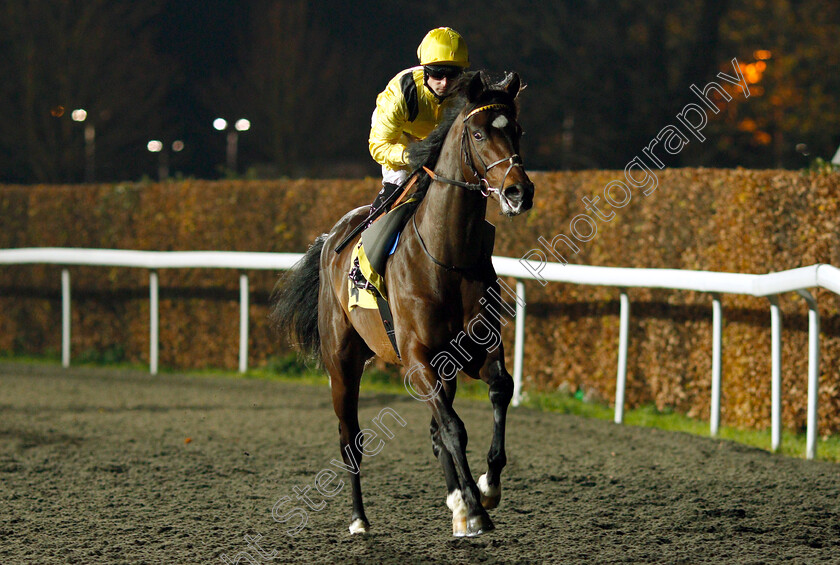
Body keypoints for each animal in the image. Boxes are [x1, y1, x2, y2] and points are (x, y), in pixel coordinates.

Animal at [272, 71, 536, 536]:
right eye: (479, 133)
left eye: (518, 130)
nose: (519, 192)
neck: (446, 255)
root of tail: (329, 239)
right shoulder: (416, 358)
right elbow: (453, 428)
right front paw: (477, 508)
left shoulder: (474, 351)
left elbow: (497, 392)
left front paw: (486, 488)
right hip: (342, 363)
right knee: (350, 438)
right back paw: (359, 519)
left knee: (434, 430)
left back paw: (456, 504)